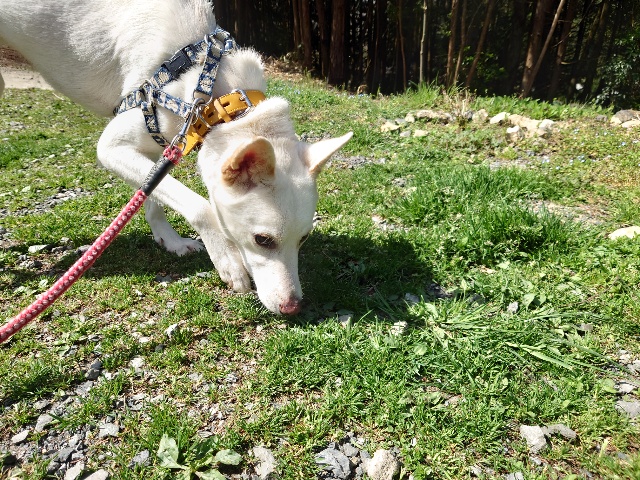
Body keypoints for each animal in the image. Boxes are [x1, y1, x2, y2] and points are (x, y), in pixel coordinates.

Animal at [0, 0, 351, 315]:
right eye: (262, 240)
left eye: (304, 238)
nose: (293, 307)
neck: (212, 95)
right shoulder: (112, 147)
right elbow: (200, 205)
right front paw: (227, 262)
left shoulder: (160, 147)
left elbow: (152, 195)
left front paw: (170, 241)